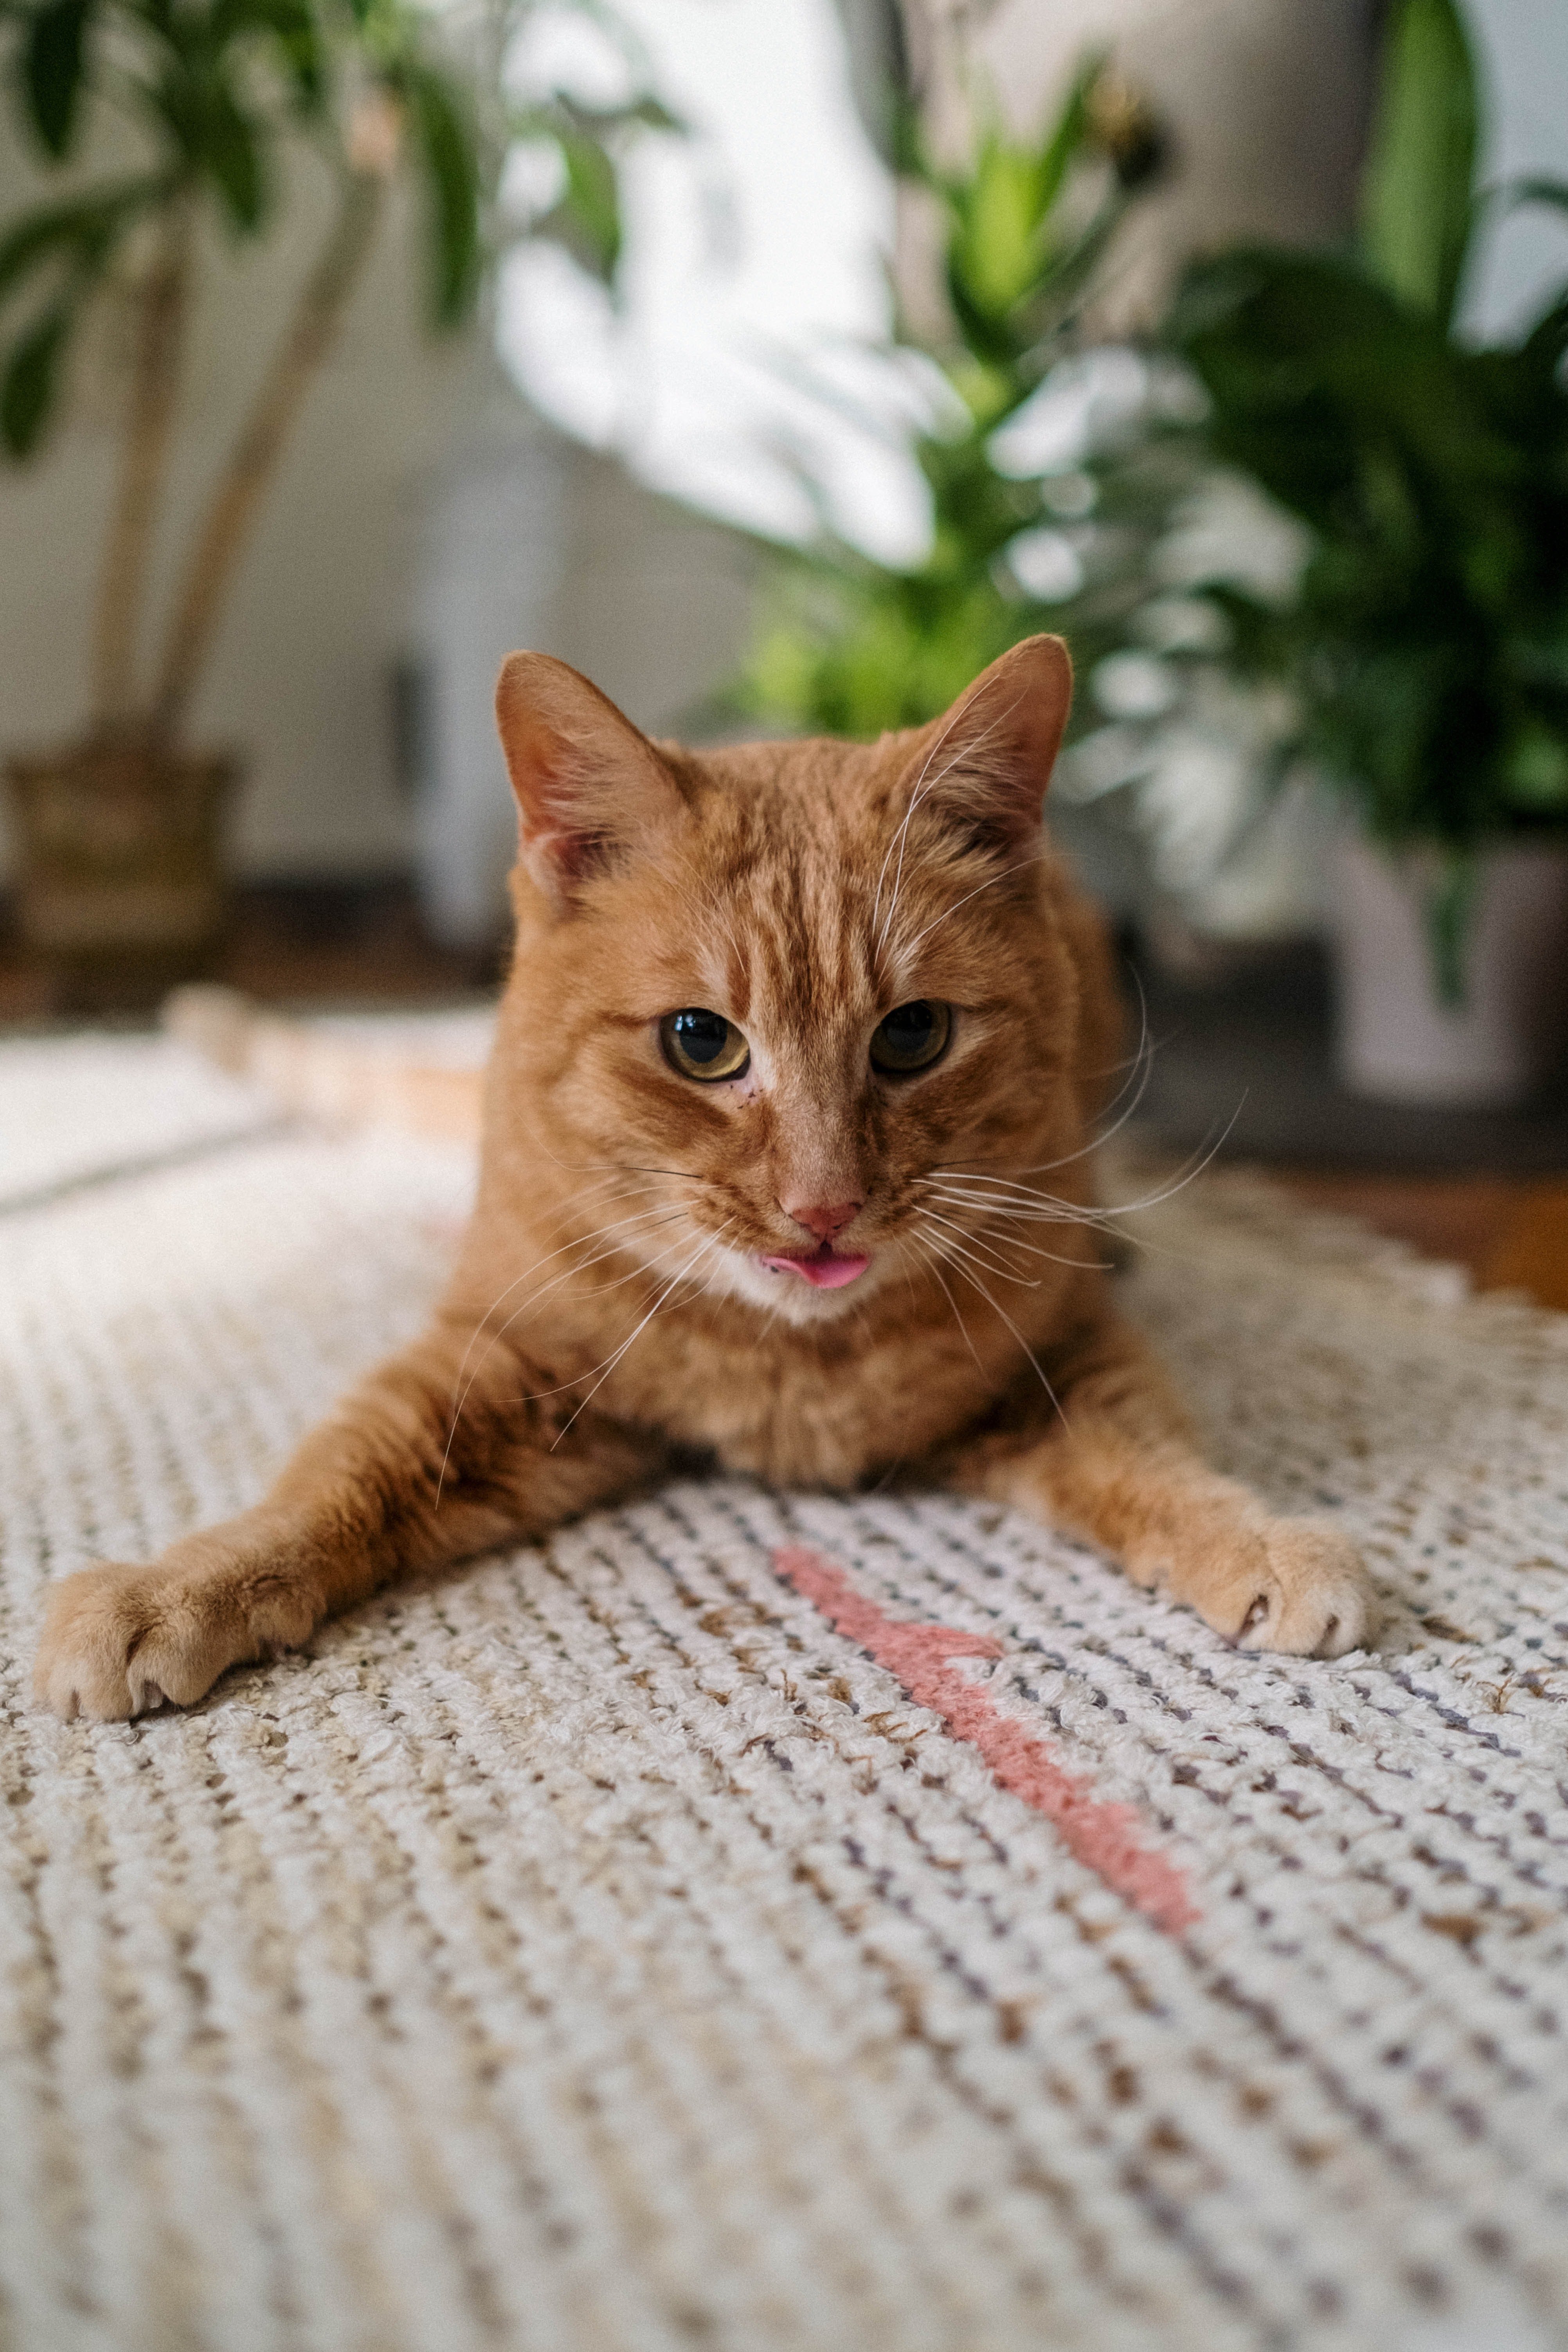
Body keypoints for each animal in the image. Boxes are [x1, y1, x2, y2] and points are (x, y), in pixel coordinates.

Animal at [31, 635, 1382, 1722]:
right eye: (699, 1041)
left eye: (913, 1036)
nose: (823, 1204)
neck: (795, 1368)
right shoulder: (495, 1367)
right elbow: (328, 1480)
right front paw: (180, 1585)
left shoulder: (1063, 1357)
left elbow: (1153, 1456)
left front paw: (1259, 1537)